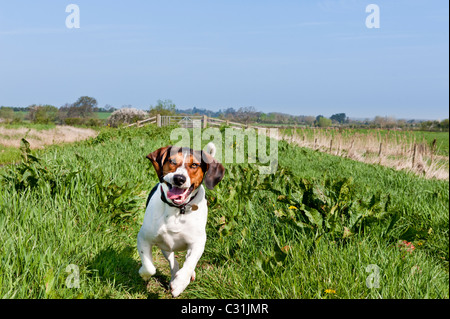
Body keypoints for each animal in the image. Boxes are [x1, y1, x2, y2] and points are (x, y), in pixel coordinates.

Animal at [135, 142, 223, 298]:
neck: (177, 210)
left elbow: (189, 264)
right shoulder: (143, 238)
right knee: (173, 262)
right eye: (172, 161)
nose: (179, 178)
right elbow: (150, 267)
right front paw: (144, 274)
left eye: (194, 165)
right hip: (166, 247)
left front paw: (180, 284)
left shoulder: (198, 242)